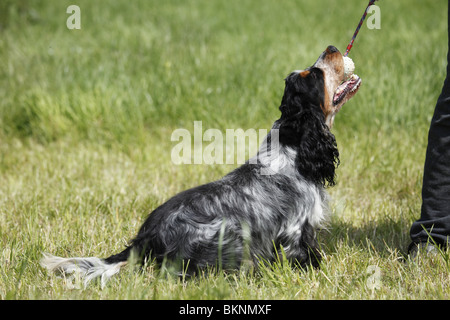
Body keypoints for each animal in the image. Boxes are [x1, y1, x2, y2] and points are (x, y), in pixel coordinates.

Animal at [42, 45, 362, 288]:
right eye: (315, 74)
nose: (331, 47)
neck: (293, 146)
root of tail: (146, 237)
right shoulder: (297, 229)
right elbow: (306, 256)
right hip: (230, 238)